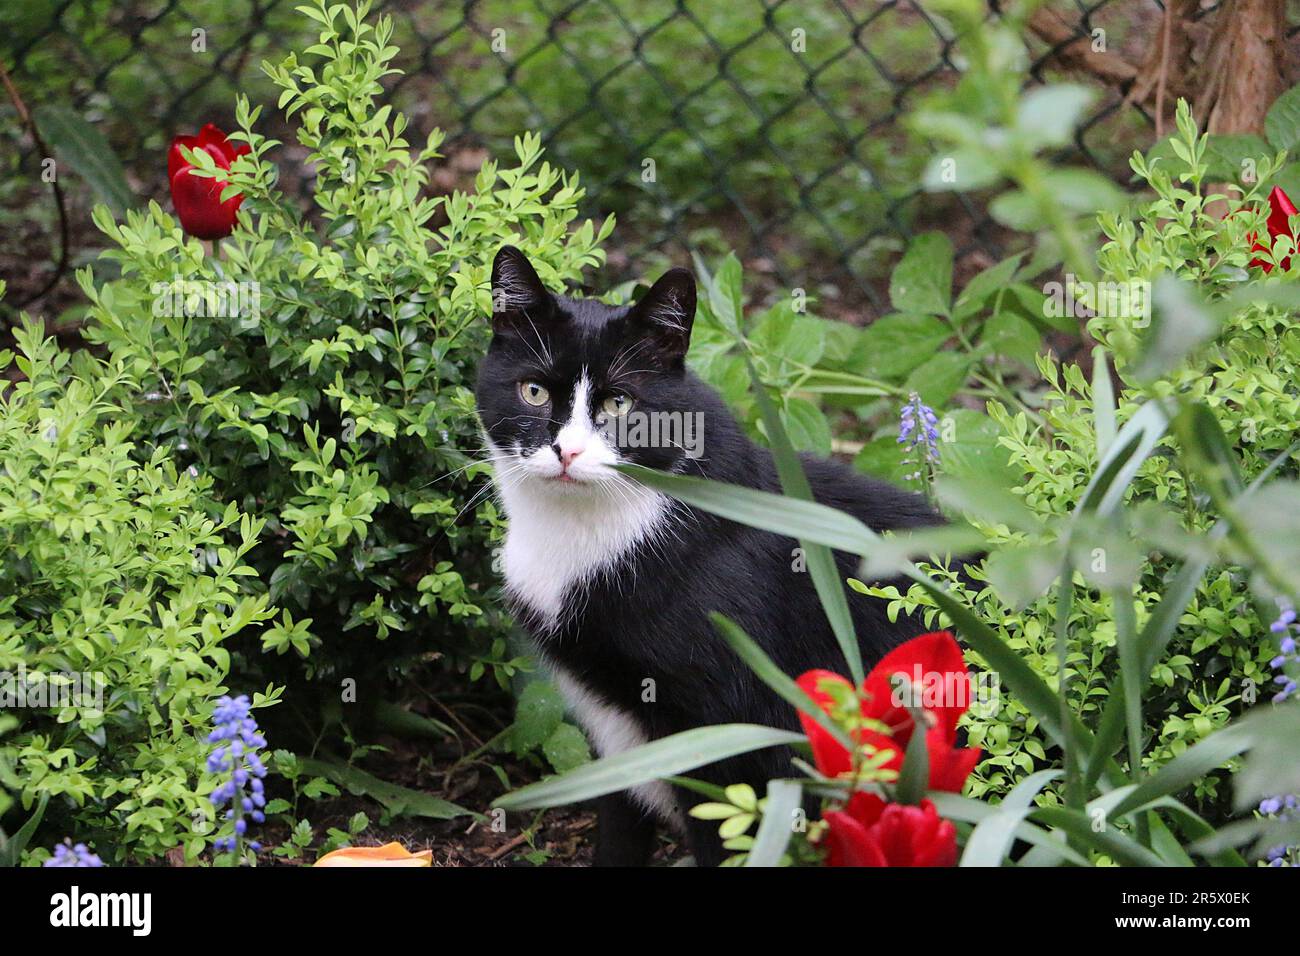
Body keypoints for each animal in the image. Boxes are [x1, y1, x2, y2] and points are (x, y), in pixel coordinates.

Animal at [478, 247, 946, 868]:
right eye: (533, 391)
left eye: (619, 402)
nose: (567, 451)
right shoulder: (613, 722)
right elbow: (619, 822)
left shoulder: (727, 728)